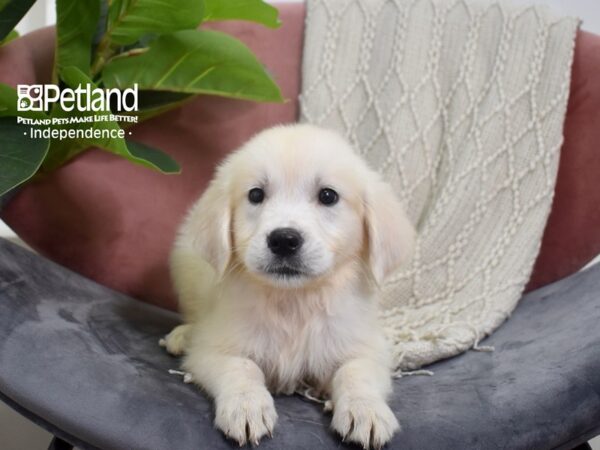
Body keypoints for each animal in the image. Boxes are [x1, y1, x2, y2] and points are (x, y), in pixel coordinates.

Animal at [162, 124, 414, 450]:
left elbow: (355, 372)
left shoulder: (364, 347)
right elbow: (243, 368)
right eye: (256, 194)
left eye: (328, 196)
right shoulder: (213, 349)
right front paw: (247, 407)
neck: (293, 301)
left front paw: (365, 411)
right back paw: (182, 335)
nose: (283, 240)